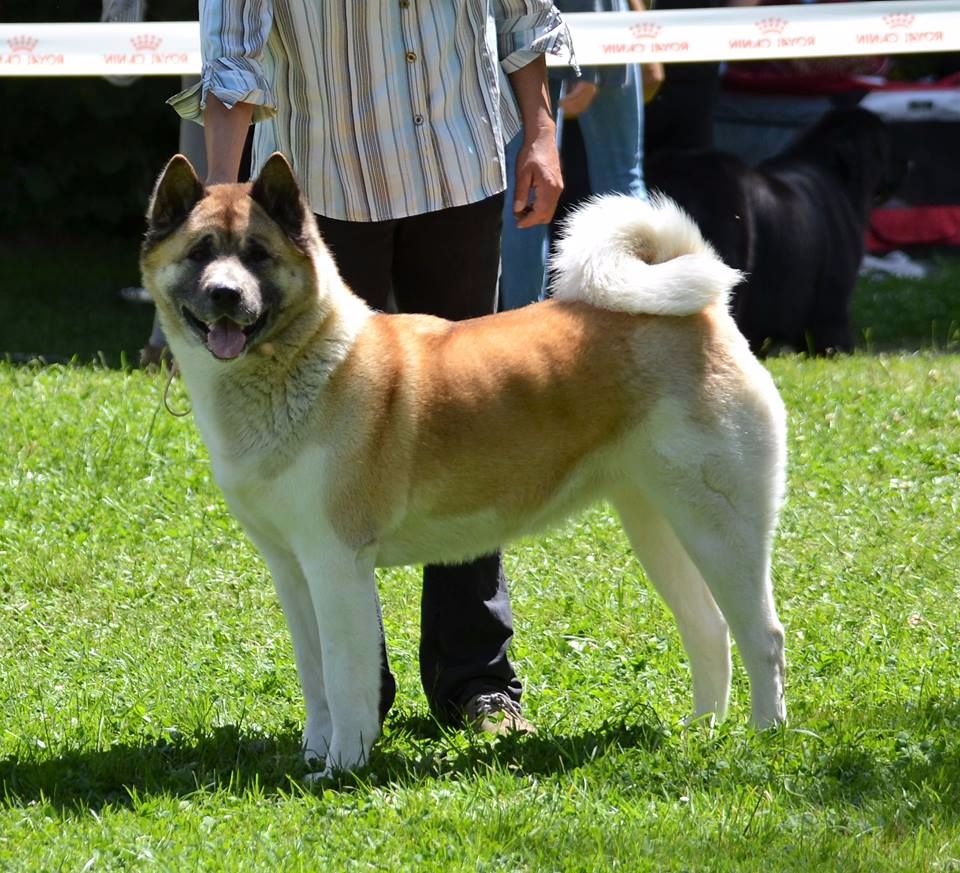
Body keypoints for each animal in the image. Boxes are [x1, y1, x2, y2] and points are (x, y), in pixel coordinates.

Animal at [141, 155, 788, 776]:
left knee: (763, 636)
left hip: (722, 529)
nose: (226, 294)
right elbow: (316, 677)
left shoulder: (337, 565)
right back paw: (701, 731)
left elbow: (346, 678)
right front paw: (313, 754)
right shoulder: (293, 570)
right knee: (709, 627)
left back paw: (764, 738)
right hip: (660, 528)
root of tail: (703, 313)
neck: (297, 363)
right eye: (200, 253)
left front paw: (341, 766)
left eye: (258, 255)